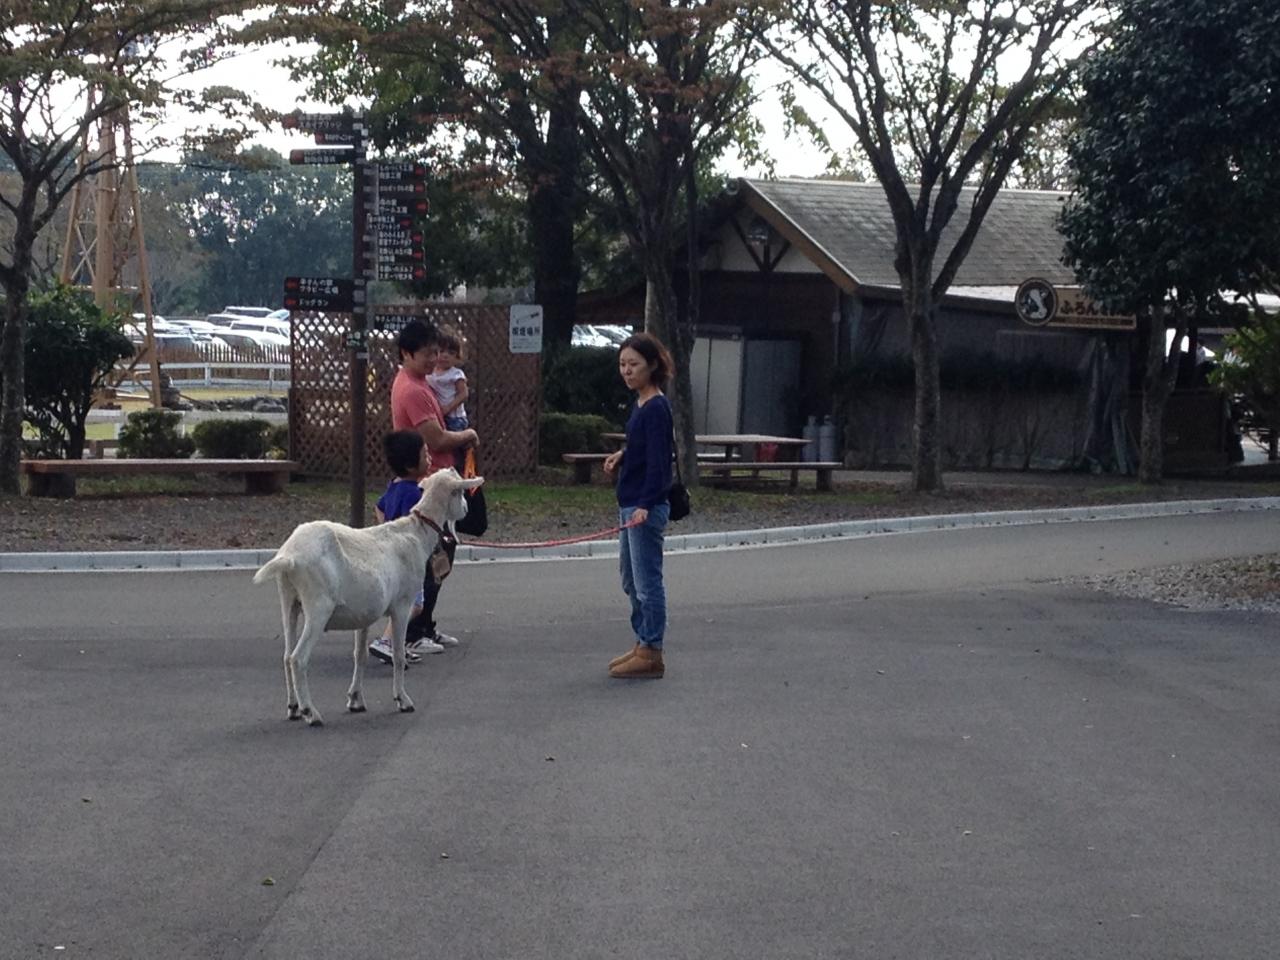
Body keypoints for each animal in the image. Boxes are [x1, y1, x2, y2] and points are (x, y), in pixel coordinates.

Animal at [252, 468, 481, 727]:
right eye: (460, 492)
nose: (466, 510)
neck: (415, 533)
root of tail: (290, 556)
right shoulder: (402, 605)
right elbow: (399, 655)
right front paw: (402, 700)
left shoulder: (363, 615)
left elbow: (359, 655)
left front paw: (355, 700)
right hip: (318, 606)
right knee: (297, 659)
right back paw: (311, 712)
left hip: (289, 600)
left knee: (285, 655)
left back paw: (293, 708)